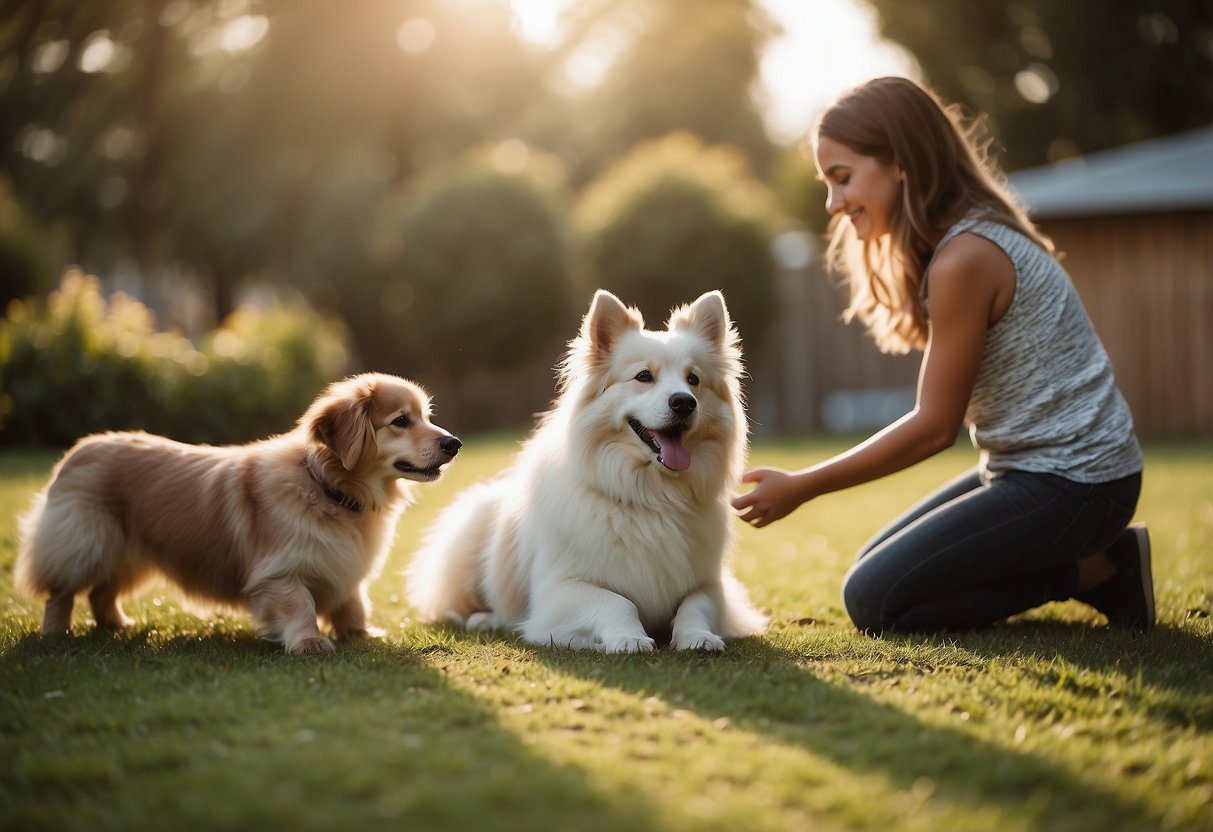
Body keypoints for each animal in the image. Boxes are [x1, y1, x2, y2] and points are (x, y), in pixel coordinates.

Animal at [16, 375, 460, 654]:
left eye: (427, 417)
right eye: (401, 421)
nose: (453, 443)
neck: (328, 488)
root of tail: (77, 451)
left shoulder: (343, 566)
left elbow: (352, 602)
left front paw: (361, 633)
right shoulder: (280, 572)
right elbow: (300, 604)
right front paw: (309, 642)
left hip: (127, 552)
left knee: (101, 592)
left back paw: (115, 626)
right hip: (86, 542)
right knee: (63, 592)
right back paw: (56, 634)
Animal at [407, 289, 766, 654]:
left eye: (694, 380)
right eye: (643, 376)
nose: (684, 402)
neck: (651, 496)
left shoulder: (712, 584)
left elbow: (695, 604)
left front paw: (697, 636)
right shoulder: (560, 590)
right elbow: (616, 601)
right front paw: (629, 638)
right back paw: (486, 619)